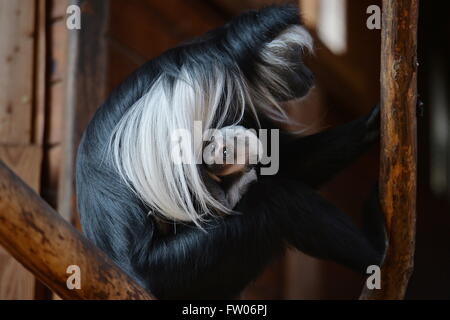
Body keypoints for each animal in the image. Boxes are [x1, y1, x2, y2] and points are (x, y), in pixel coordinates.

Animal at [76, 5, 386, 300]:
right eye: (295, 56)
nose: (309, 75)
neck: (226, 50)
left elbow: (285, 161)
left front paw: (373, 124)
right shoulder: (213, 87)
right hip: (177, 266)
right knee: (278, 201)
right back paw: (377, 256)